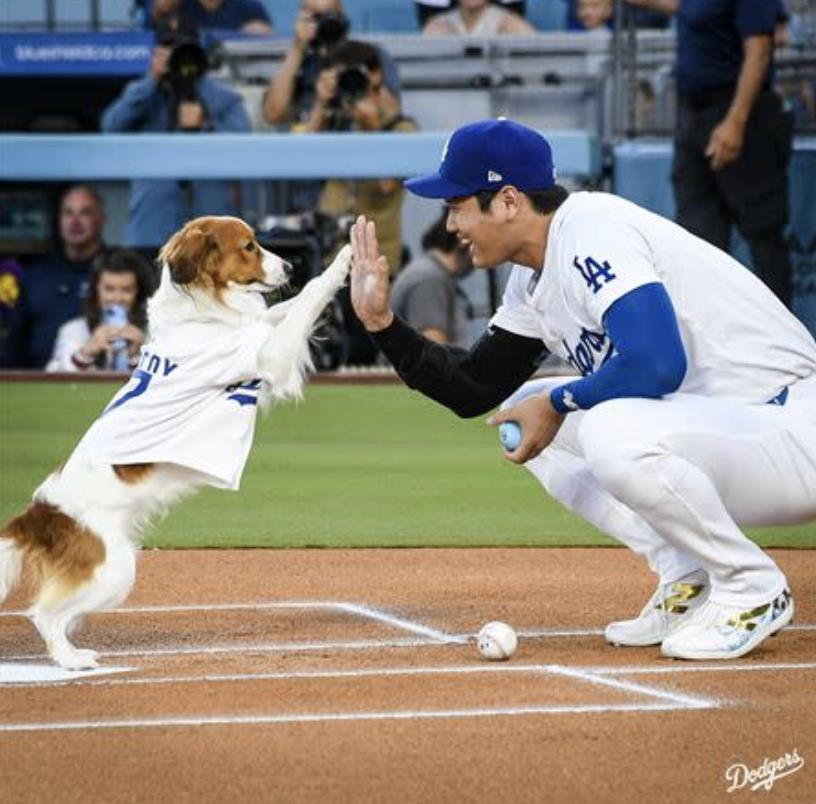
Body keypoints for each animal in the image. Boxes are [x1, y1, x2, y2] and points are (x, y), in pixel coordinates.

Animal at [0, 215, 350, 672]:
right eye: (249, 246)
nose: (291, 267)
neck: (200, 314)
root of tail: (39, 514)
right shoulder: (269, 356)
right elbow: (306, 300)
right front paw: (344, 260)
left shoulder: (259, 334)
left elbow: (279, 310)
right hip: (115, 568)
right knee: (44, 614)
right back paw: (71, 660)